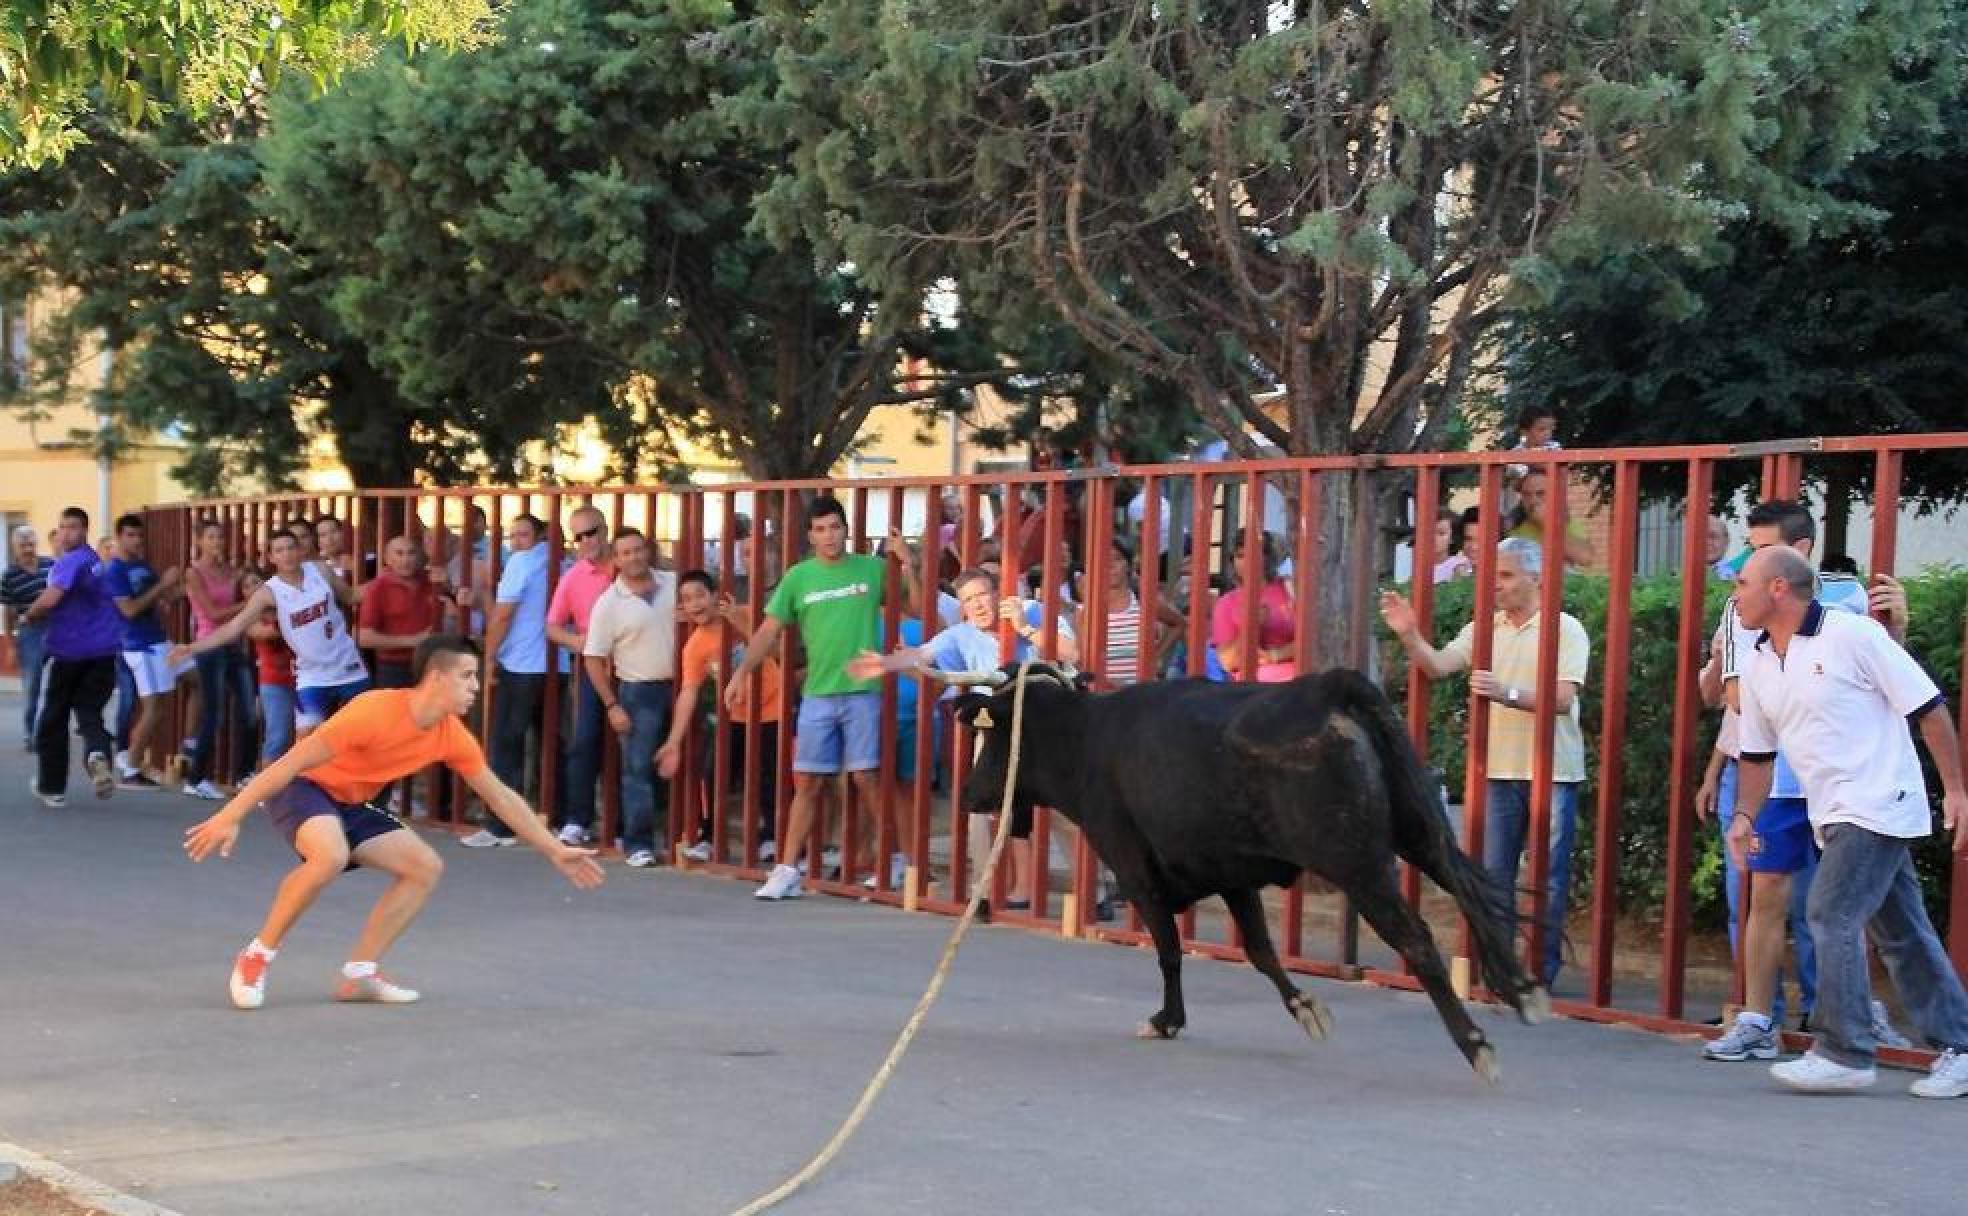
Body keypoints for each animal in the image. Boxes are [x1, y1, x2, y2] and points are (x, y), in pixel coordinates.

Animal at [952, 657, 1550, 1078]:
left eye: (991, 731)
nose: (971, 794)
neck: (1086, 739)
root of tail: (1325, 687)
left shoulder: (1134, 867)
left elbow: (1169, 949)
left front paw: (1167, 1020)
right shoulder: (1232, 873)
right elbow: (1260, 950)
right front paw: (1304, 1006)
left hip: (1359, 865)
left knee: (1419, 941)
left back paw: (1475, 1043)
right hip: (1421, 835)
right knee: (1472, 895)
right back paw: (1525, 989)